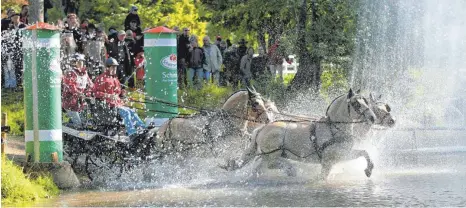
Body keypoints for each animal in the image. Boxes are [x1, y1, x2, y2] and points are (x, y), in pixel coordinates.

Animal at [220, 88, 392, 180]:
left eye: (366, 102)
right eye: (356, 104)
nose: (372, 117)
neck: (333, 129)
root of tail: (262, 128)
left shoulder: (343, 154)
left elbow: (364, 152)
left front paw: (369, 170)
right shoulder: (330, 160)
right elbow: (323, 177)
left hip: (267, 155)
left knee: (259, 167)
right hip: (272, 155)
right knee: (270, 164)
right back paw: (291, 169)